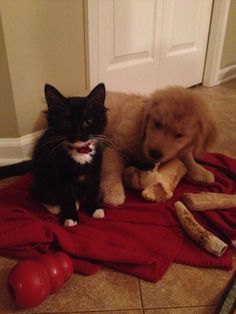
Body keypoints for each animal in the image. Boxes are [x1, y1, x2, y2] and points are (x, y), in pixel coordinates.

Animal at [31, 83, 109, 226]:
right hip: (43, 180)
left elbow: (93, 190)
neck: (80, 152)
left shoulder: (94, 171)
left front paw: (95, 209)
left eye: (88, 121)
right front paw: (70, 217)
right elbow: (67, 197)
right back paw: (57, 206)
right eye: (66, 123)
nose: (78, 134)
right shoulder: (61, 175)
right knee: (40, 194)